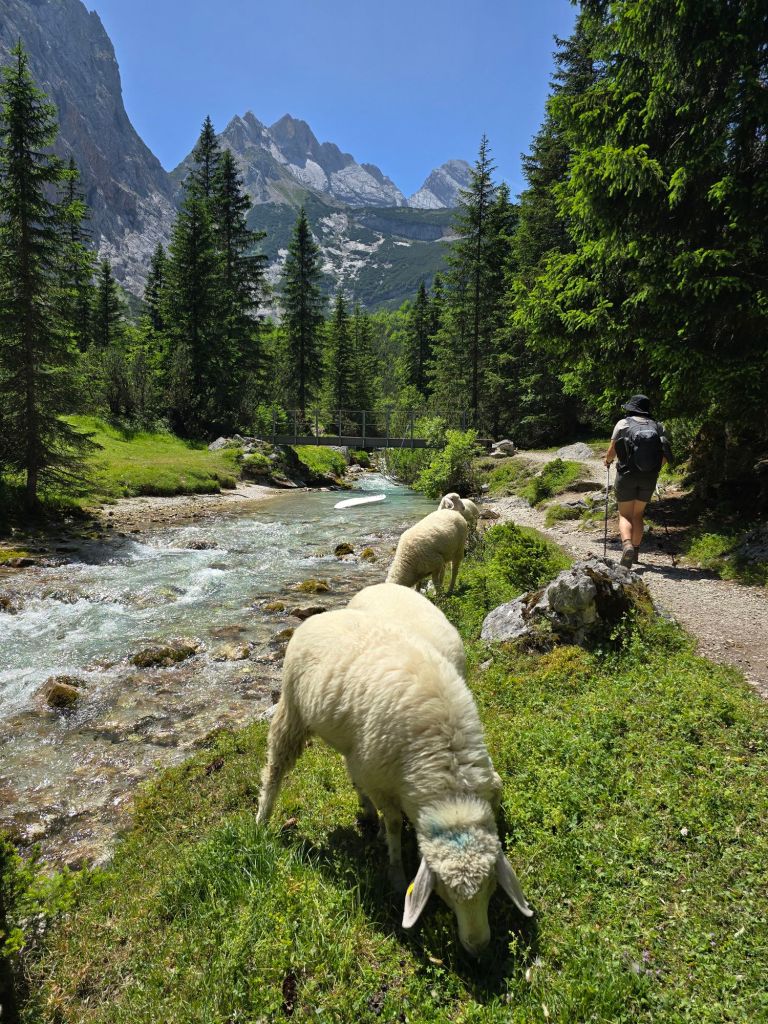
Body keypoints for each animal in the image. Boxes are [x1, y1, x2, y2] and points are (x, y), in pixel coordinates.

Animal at [256, 608, 533, 955]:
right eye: (443, 890)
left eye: (492, 885)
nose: (479, 947)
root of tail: (326, 614)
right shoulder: (382, 783)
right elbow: (393, 824)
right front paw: (397, 874)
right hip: (292, 709)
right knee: (276, 767)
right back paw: (262, 818)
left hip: (350, 739)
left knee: (349, 768)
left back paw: (364, 812)